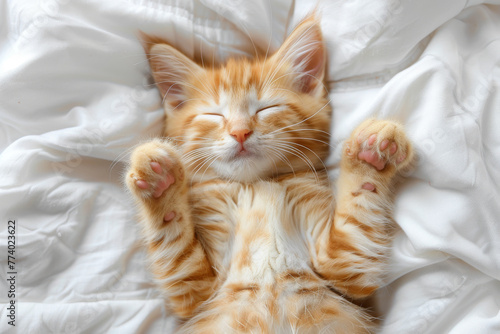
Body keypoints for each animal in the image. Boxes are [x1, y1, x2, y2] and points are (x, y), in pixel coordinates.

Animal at [126, 15, 414, 334]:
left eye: (267, 108)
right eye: (214, 115)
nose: (240, 132)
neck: (255, 185)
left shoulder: (346, 267)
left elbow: (357, 221)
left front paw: (370, 157)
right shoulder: (193, 292)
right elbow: (175, 245)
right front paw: (159, 182)